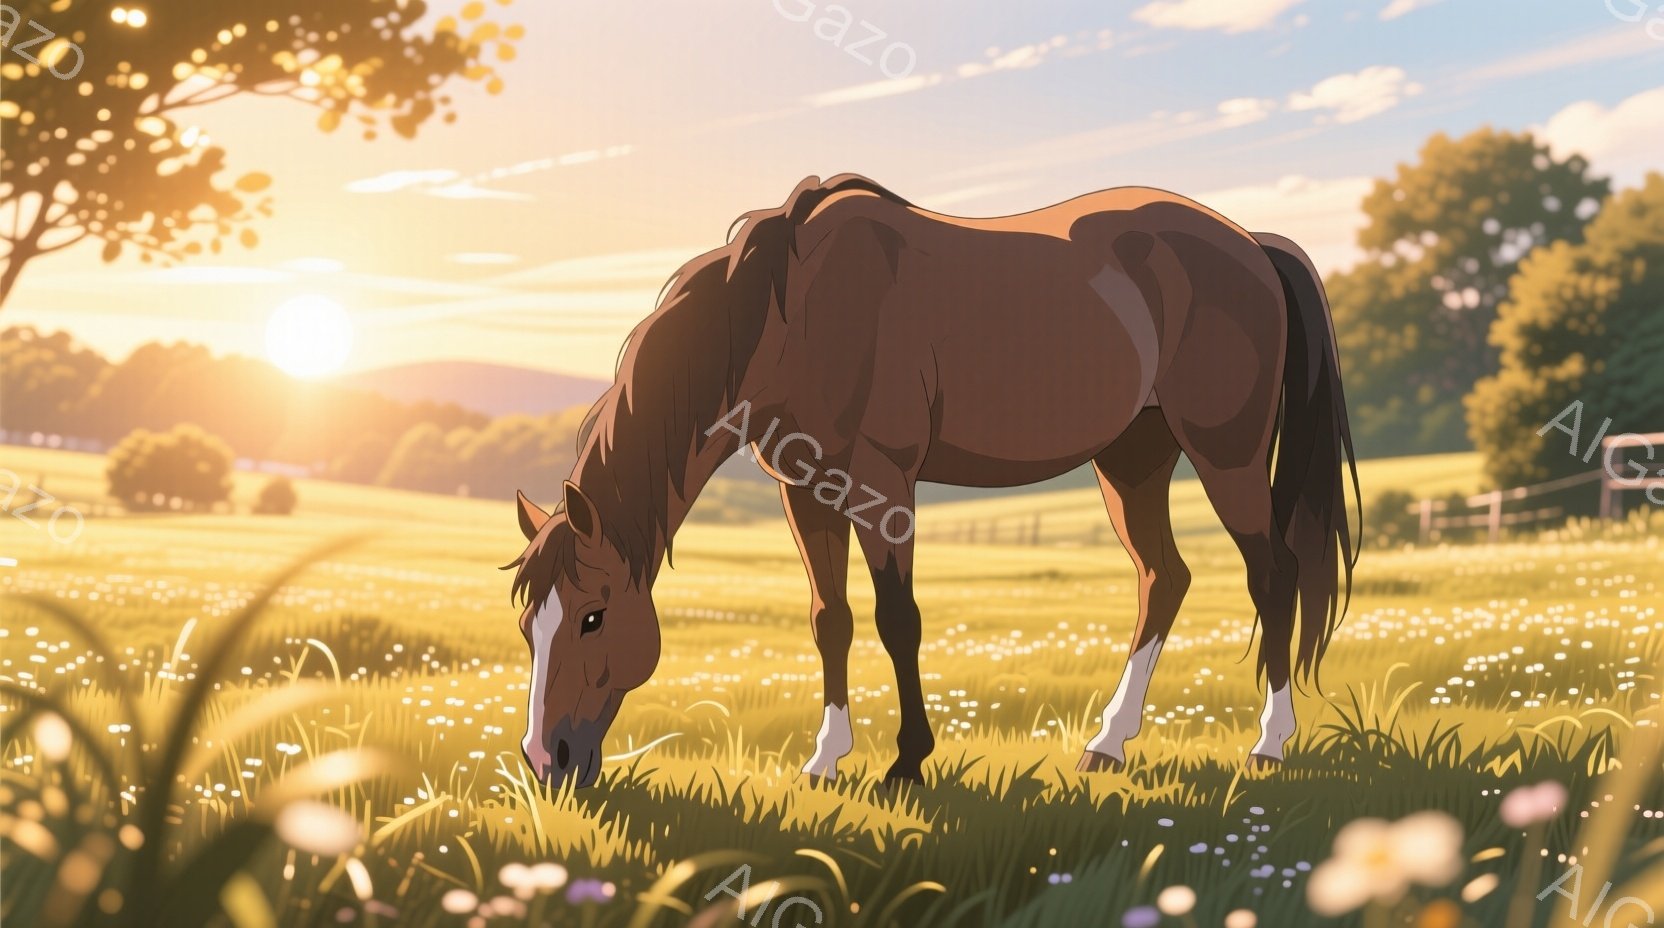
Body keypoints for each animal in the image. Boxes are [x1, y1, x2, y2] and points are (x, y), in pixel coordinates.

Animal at [507, 174, 1358, 788]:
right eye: (526, 627)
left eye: (592, 617)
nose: (547, 761)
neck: (793, 316)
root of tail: (1251, 243)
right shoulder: (804, 492)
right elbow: (831, 620)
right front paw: (824, 761)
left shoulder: (884, 486)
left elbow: (897, 620)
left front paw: (907, 763)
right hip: (1133, 457)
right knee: (1164, 577)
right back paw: (1108, 745)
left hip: (1226, 454)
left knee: (1272, 575)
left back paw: (1269, 745)